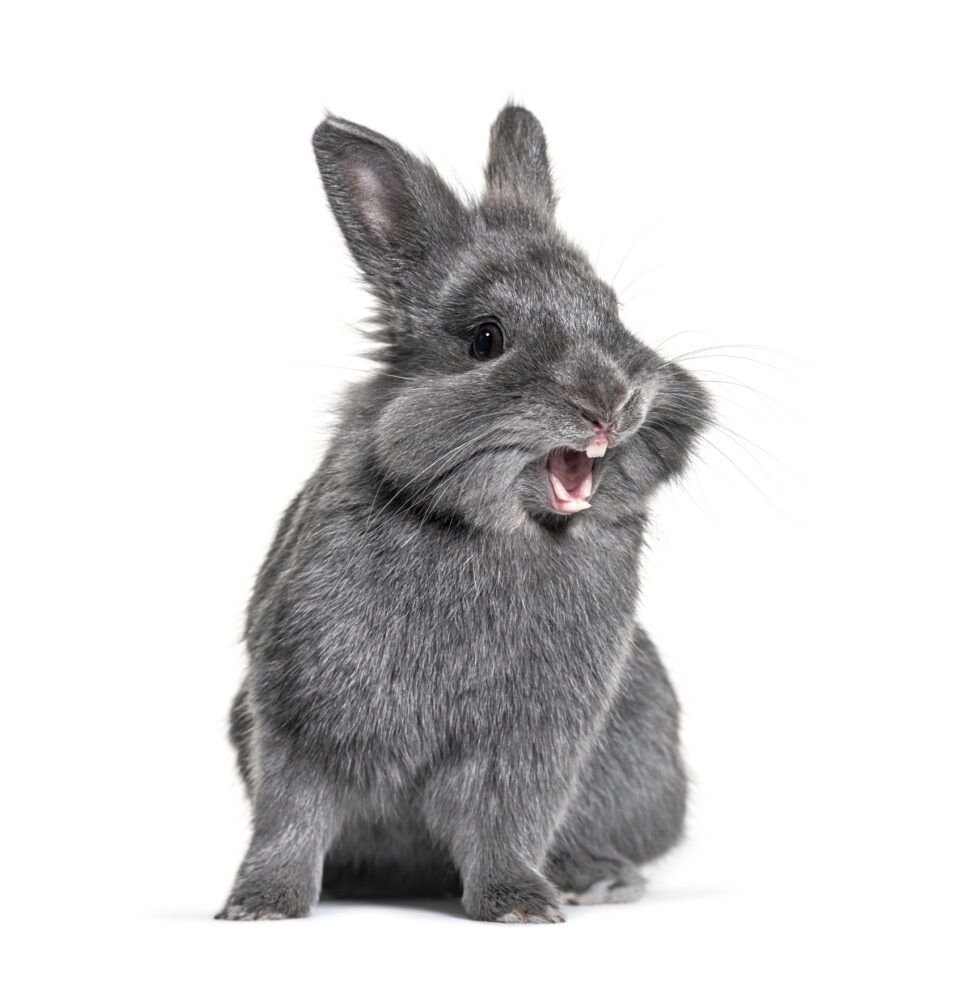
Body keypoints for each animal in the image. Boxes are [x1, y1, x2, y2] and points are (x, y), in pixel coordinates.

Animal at [215, 101, 712, 924]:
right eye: (487, 338)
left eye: (610, 311)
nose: (611, 404)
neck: (494, 531)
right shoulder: (299, 712)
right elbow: (292, 816)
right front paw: (260, 905)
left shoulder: (535, 740)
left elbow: (509, 822)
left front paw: (520, 903)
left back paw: (597, 877)